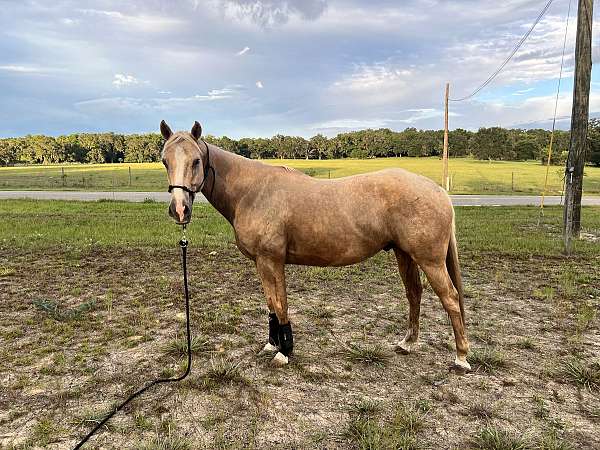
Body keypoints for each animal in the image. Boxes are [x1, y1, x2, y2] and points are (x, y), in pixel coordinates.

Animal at [162, 121, 472, 370]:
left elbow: (280, 303)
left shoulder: (271, 260)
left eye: (196, 161)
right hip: (404, 254)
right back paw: (408, 343)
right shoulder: (261, 263)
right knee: (414, 293)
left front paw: (284, 352)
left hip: (430, 260)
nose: (179, 210)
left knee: (450, 298)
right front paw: (272, 344)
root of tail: (438, 191)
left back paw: (461, 357)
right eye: (165, 160)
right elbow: (271, 304)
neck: (252, 192)